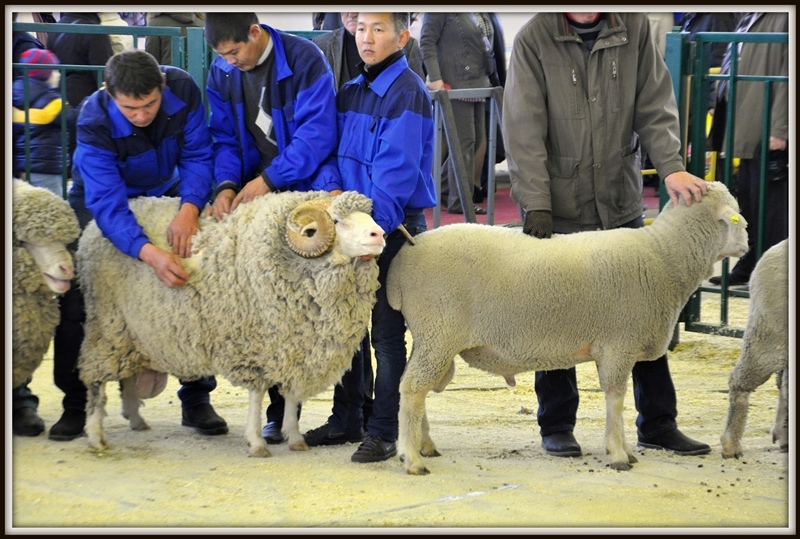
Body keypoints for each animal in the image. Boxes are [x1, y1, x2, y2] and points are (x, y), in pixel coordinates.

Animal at [76, 192, 386, 458]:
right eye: (336, 221)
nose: (379, 234)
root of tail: (90, 230)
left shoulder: (293, 343)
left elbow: (290, 394)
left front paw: (294, 437)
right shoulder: (253, 342)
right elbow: (257, 395)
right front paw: (256, 442)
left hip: (131, 333)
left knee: (126, 376)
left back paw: (136, 418)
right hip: (106, 324)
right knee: (96, 381)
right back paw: (95, 435)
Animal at [388, 182, 752, 476]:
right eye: (738, 219)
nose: (748, 246)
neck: (663, 256)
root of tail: (406, 258)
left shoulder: (621, 343)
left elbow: (618, 400)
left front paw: (625, 450)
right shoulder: (618, 342)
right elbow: (616, 399)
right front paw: (618, 454)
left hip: (432, 338)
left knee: (416, 388)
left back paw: (424, 445)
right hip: (439, 331)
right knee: (412, 388)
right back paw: (411, 458)